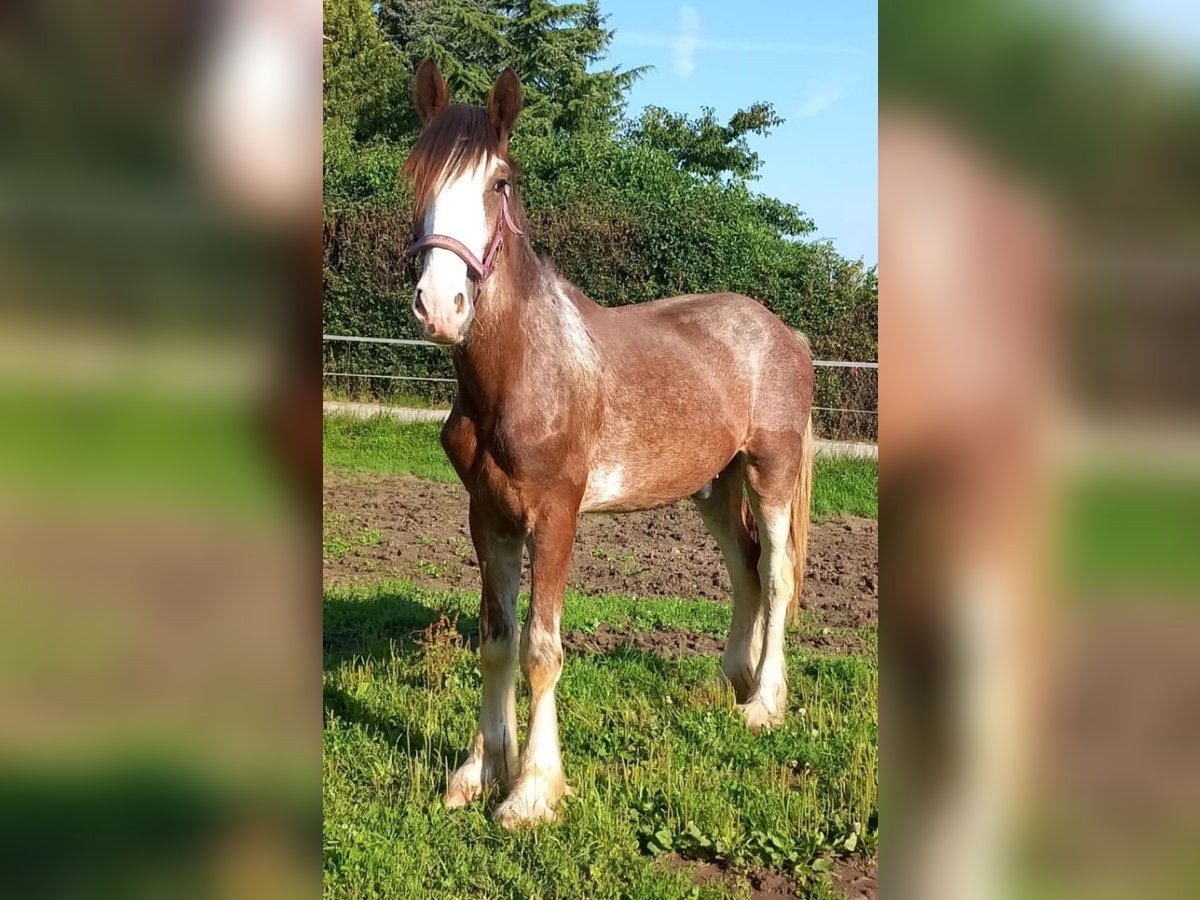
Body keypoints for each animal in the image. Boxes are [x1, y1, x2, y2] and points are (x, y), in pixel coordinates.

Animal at [403, 58, 816, 830]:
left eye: (498, 183)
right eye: (415, 176)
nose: (440, 307)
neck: (522, 368)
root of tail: (786, 333)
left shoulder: (556, 515)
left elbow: (541, 648)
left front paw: (532, 791)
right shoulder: (489, 516)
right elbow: (496, 641)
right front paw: (479, 772)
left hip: (770, 471)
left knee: (777, 574)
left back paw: (764, 703)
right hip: (714, 487)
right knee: (745, 569)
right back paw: (730, 682)